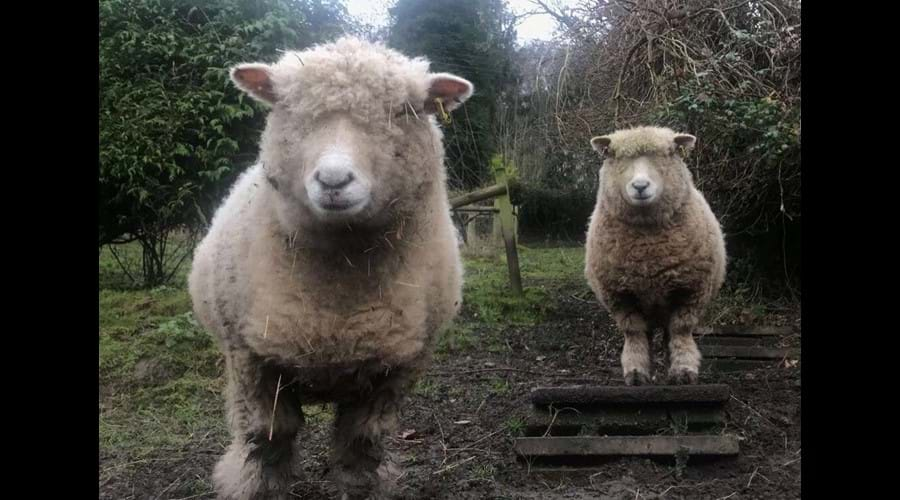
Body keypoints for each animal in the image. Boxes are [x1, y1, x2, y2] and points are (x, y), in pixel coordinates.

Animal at [187, 38, 474, 500]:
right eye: (289, 109)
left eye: (403, 111)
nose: (334, 180)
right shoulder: (250, 358)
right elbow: (270, 437)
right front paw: (256, 484)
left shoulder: (397, 368)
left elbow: (361, 444)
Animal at [584, 127, 724, 384]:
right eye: (616, 156)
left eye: (667, 154)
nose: (640, 186)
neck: (649, 251)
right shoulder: (621, 296)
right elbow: (634, 332)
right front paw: (636, 373)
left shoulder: (690, 291)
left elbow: (681, 330)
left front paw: (684, 371)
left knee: (669, 333)